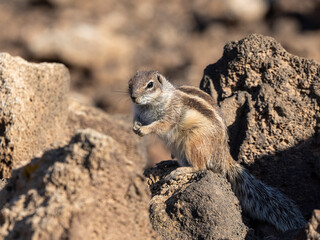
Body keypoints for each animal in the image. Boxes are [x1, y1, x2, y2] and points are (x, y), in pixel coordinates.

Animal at [129, 70, 306, 232]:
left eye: (150, 84)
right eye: (130, 83)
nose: (133, 97)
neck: (148, 106)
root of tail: (223, 154)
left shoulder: (172, 112)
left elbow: (162, 125)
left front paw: (144, 130)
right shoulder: (139, 113)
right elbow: (138, 120)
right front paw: (135, 127)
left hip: (194, 142)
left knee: (199, 166)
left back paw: (179, 171)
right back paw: (169, 163)